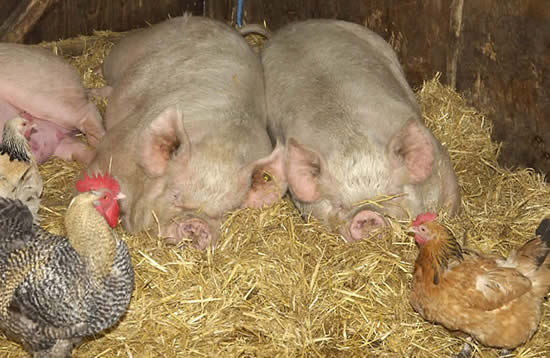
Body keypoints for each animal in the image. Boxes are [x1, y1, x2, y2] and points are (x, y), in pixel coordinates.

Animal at [88, 14, 286, 249]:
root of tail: (231, 29)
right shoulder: (115, 150)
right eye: (175, 194)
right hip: (130, 48)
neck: (221, 149)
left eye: (225, 212)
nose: (197, 224)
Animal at [264, 20, 462, 243]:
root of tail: (286, 29)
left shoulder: (441, 164)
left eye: (392, 194)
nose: (366, 215)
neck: (354, 140)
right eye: (340, 205)